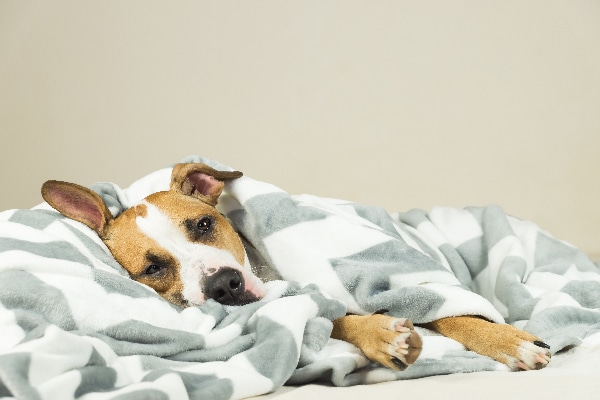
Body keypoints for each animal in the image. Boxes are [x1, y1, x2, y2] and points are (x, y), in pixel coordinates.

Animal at [39, 162, 552, 372]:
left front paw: (507, 341)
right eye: (152, 270)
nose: (224, 285)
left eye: (203, 224)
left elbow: (452, 311)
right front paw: (381, 334)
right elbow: (339, 317)